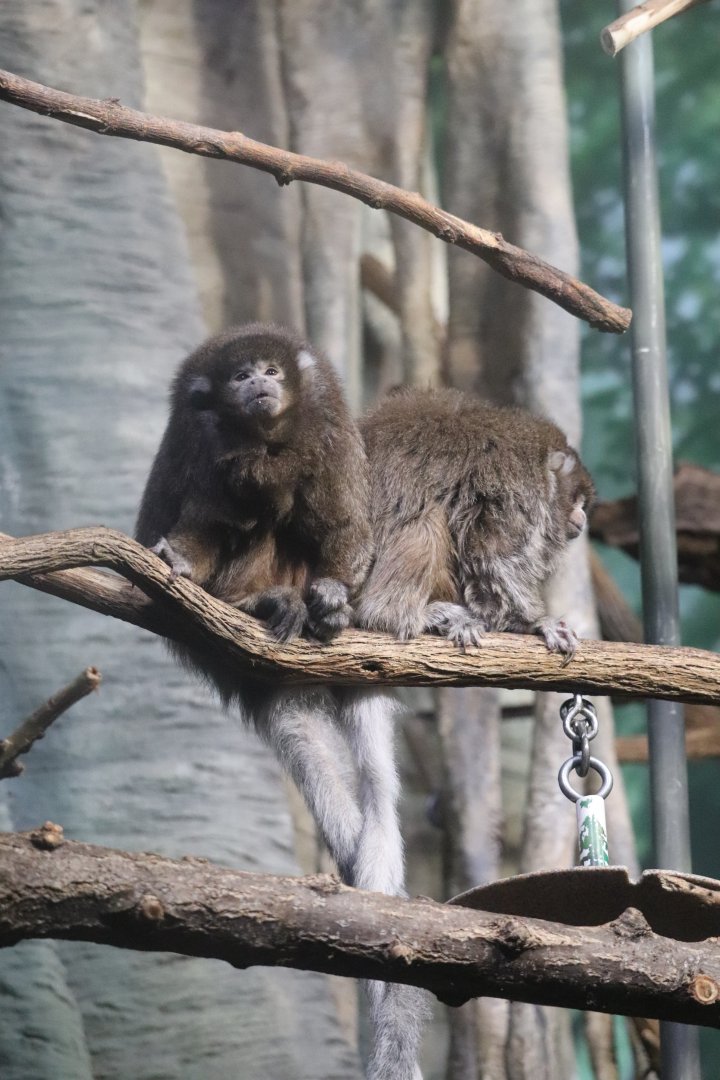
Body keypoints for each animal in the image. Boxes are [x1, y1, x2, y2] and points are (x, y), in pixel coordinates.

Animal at [136, 324, 424, 1080]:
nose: (258, 384)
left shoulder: (325, 419)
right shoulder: (200, 427)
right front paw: (181, 560)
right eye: (239, 377)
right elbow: (201, 511)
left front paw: (335, 594)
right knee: (246, 510)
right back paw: (257, 602)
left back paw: (313, 605)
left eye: (270, 371)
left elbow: (344, 516)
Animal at [356, 386, 595, 658]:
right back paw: (392, 615)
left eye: (583, 505)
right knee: (426, 517)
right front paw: (536, 623)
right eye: (577, 501)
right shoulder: (520, 489)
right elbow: (493, 559)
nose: (582, 517)